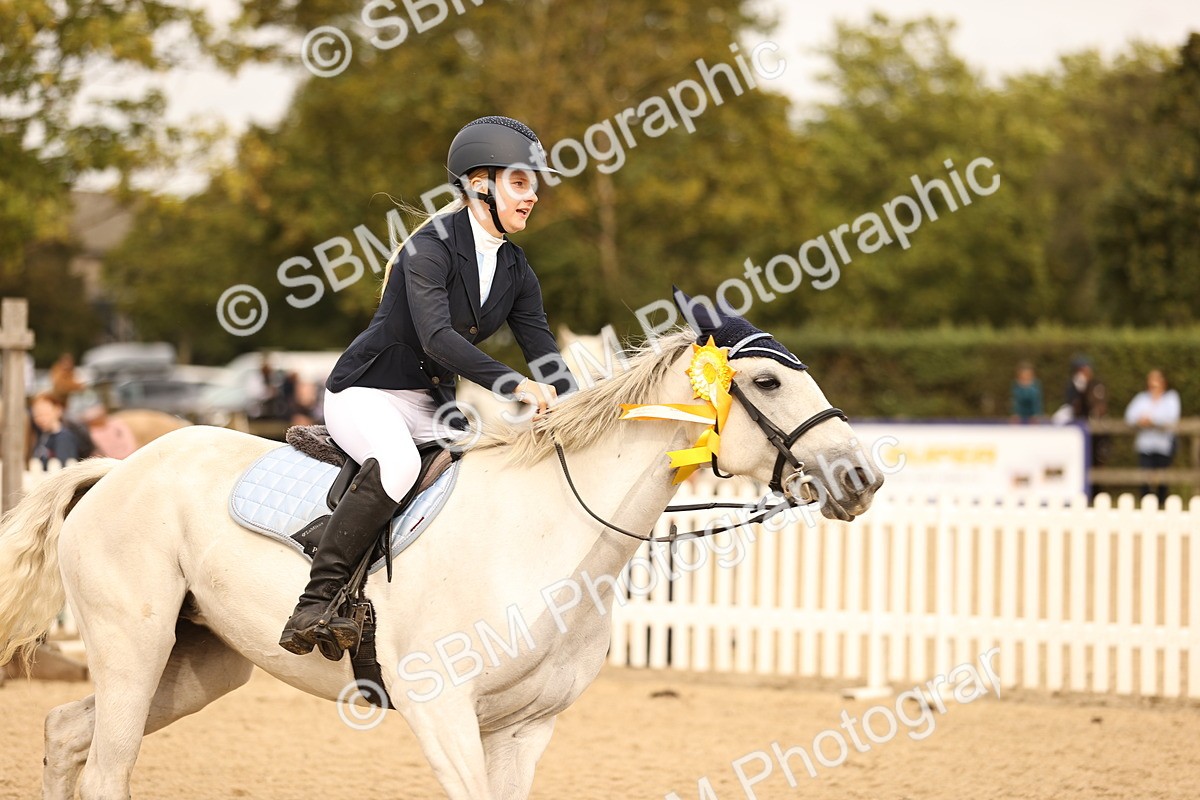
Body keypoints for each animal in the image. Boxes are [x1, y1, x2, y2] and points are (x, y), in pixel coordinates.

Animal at [0, 327, 882, 800]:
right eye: (766, 380)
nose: (861, 478)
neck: (549, 531)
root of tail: (115, 471)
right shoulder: (441, 710)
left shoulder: (525, 728)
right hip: (135, 647)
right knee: (105, 765)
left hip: (200, 664)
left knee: (66, 733)